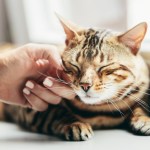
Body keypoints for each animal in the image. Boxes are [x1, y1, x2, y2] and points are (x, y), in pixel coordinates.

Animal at [0, 15, 150, 141]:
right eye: (75, 65)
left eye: (104, 67)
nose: (85, 85)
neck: (99, 110)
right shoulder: (32, 109)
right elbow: (56, 113)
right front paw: (75, 124)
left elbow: (139, 106)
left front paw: (144, 119)